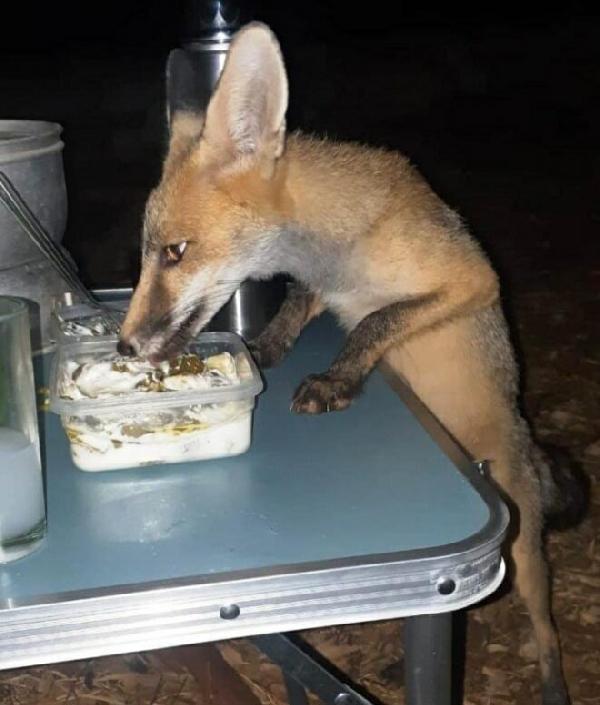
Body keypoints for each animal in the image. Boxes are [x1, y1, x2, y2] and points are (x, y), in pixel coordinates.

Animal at [117, 22, 580, 704]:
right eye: (151, 254)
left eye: (175, 252)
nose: (124, 346)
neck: (339, 250)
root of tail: (525, 440)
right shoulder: (320, 284)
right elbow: (298, 305)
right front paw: (266, 350)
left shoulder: (475, 279)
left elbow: (373, 322)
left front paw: (336, 379)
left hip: (522, 552)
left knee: (546, 629)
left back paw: (552, 682)